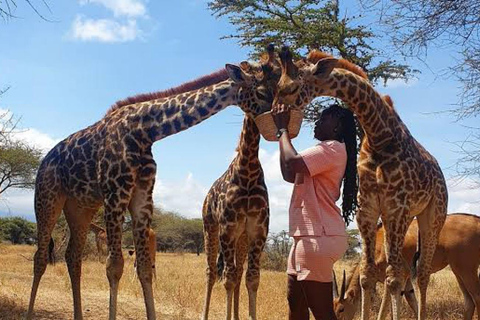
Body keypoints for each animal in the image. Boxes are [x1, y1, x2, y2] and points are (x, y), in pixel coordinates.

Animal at [202, 115, 270, 320]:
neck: (248, 172)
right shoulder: (227, 230)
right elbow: (228, 278)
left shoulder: (258, 231)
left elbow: (252, 278)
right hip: (210, 228)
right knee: (211, 272)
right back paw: (204, 315)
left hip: (242, 237)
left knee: (239, 271)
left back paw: (237, 316)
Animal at [272, 47, 448, 320]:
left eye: (290, 88)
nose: (274, 113)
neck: (379, 136)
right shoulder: (368, 210)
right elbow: (367, 276)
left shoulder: (396, 209)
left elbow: (394, 279)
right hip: (401, 218)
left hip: (432, 216)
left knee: (421, 274)